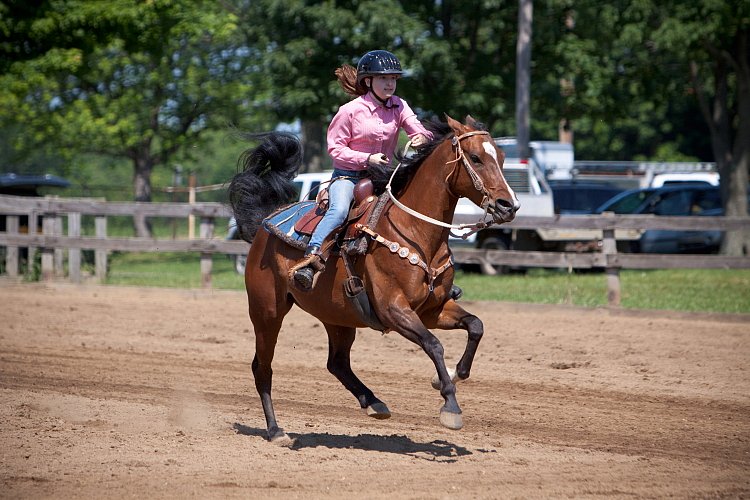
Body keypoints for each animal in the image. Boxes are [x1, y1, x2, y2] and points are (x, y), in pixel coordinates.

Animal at [229, 115, 520, 444]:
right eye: (475, 157)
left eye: (501, 157)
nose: (508, 205)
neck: (416, 232)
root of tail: (266, 223)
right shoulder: (394, 309)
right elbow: (433, 345)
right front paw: (450, 405)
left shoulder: (432, 310)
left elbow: (475, 326)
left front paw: (454, 375)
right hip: (267, 310)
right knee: (262, 366)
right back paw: (276, 430)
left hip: (337, 317)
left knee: (337, 363)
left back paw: (373, 402)